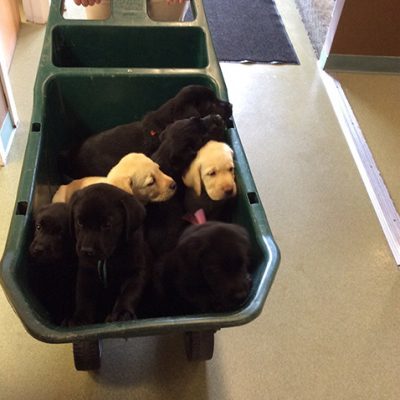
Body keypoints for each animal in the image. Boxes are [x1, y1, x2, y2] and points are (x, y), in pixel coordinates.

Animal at [69, 184, 150, 324]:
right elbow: (83, 296)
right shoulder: (86, 271)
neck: (109, 258)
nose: (86, 250)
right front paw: (80, 318)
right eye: (79, 222)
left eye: (107, 225)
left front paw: (122, 313)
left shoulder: (136, 271)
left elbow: (130, 292)